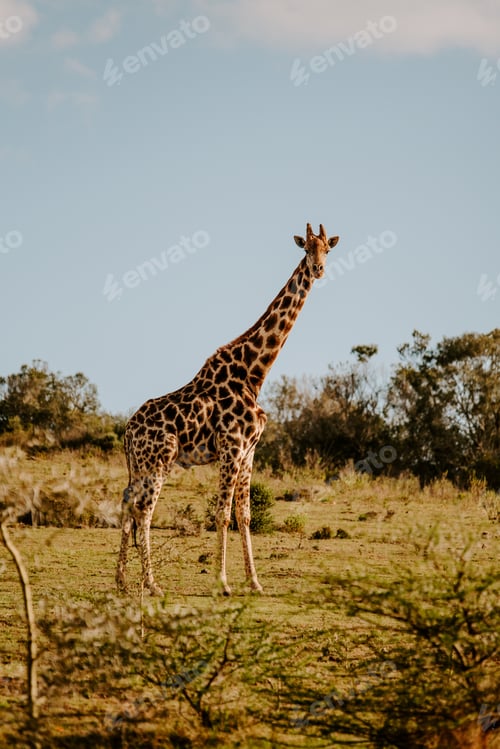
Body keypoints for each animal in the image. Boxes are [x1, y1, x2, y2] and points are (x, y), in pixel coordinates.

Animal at [116, 223, 339, 596]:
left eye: (327, 248)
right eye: (306, 248)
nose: (319, 269)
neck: (254, 372)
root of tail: (129, 432)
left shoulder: (249, 451)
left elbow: (243, 514)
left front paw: (254, 582)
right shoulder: (231, 447)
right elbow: (221, 513)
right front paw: (222, 583)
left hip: (138, 465)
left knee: (126, 504)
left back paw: (120, 580)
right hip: (158, 461)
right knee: (144, 511)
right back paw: (152, 584)